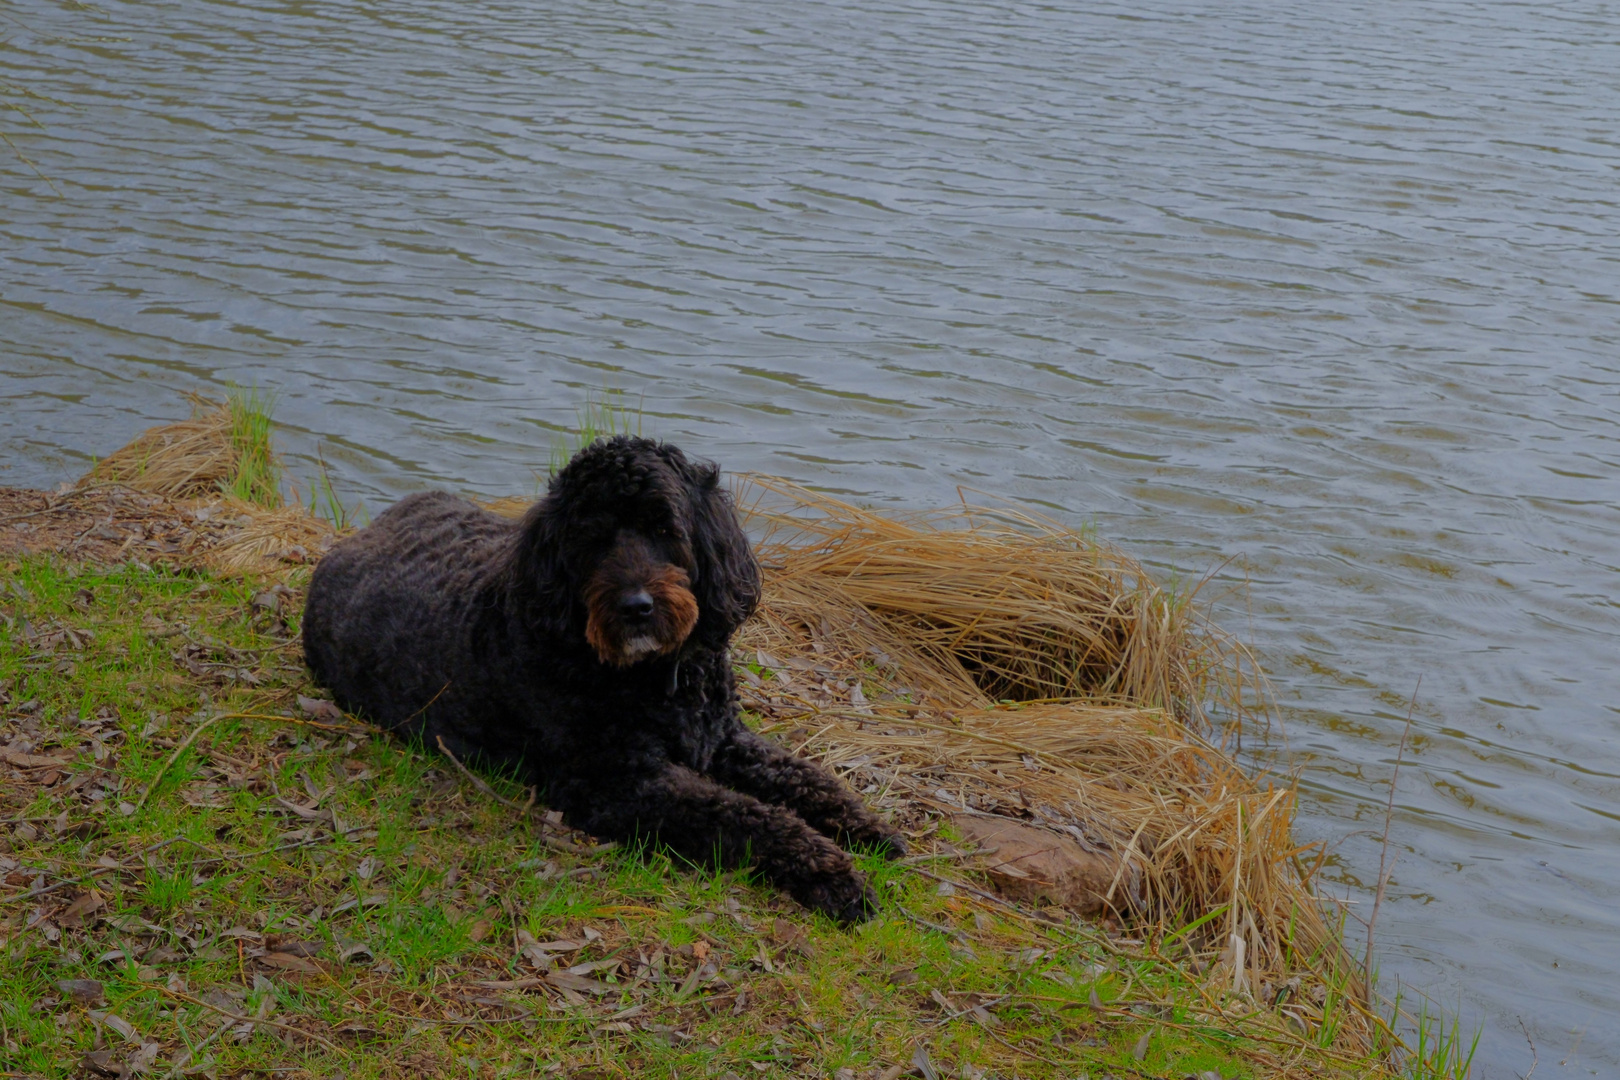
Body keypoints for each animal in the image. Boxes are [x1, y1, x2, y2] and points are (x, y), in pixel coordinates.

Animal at [304, 433, 907, 926]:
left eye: (665, 528)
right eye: (592, 538)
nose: (636, 607)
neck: (659, 678)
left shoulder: (725, 740)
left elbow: (805, 777)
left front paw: (867, 827)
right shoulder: (616, 782)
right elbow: (747, 816)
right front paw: (832, 873)